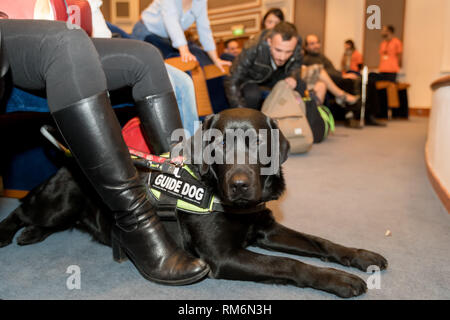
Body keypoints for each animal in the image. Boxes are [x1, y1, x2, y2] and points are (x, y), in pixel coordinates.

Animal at [0, 108, 386, 298]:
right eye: (219, 143)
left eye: (260, 142)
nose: (241, 185)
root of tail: (69, 158)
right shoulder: (223, 256)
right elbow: (289, 264)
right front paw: (338, 279)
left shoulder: (266, 229)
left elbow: (321, 242)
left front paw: (361, 256)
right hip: (58, 204)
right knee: (19, 211)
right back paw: (12, 232)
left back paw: (30, 235)